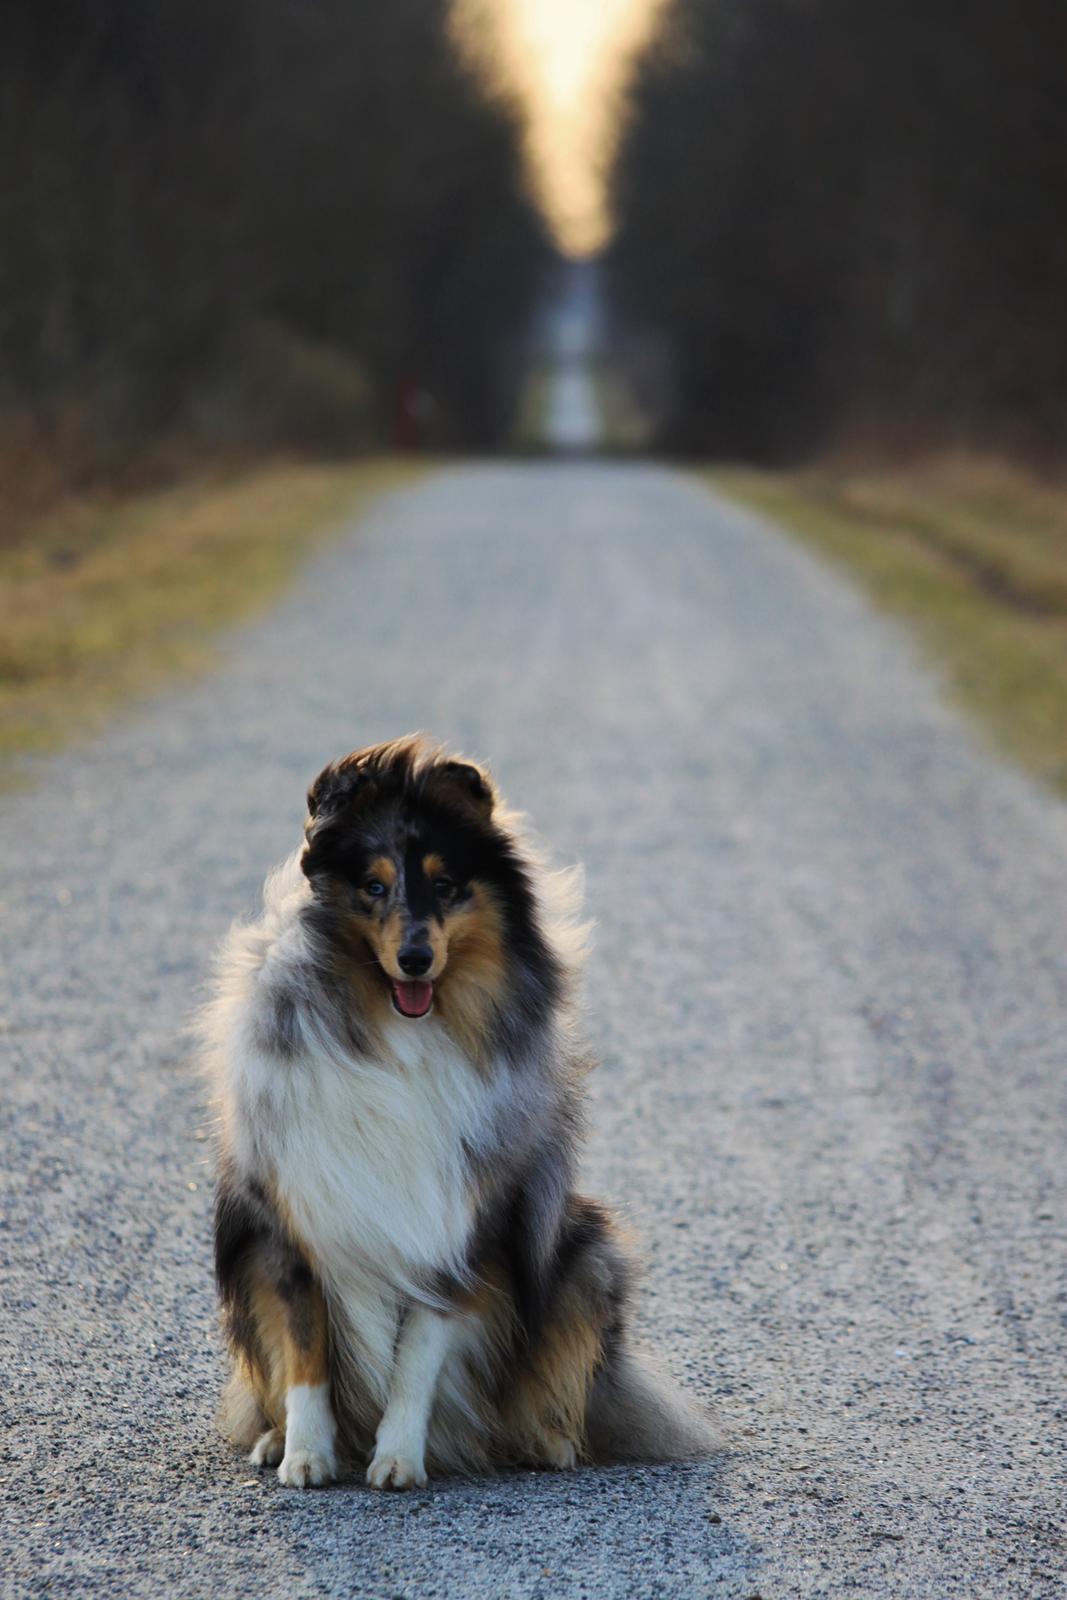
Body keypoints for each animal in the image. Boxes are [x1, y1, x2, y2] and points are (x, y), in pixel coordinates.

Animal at [203, 736, 713, 1484]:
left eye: (445, 887)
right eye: (373, 886)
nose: (416, 959)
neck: (397, 1034)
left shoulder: (459, 1231)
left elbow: (418, 1356)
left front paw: (397, 1460)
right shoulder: (290, 1224)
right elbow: (304, 1352)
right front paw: (306, 1455)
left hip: (587, 1254)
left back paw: (544, 1442)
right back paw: (273, 1440)